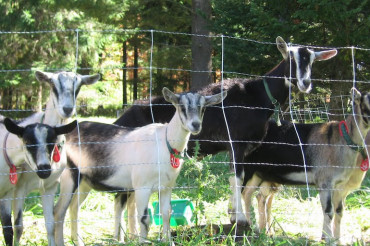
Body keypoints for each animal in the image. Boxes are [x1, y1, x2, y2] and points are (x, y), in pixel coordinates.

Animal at [0, 70, 100, 245]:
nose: (67, 109)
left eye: (79, 85)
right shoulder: (19, 187)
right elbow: (18, 226)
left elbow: (50, 224)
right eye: (52, 84)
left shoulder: (49, 187)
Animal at [51, 86, 225, 244]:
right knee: (59, 211)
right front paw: (143, 241)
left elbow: (166, 213)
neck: (165, 143)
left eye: (203, 108)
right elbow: (144, 218)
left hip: (84, 182)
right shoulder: (142, 187)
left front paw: (168, 241)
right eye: (181, 106)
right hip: (69, 176)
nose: (195, 125)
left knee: (74, 208)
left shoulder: (166, 187)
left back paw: (78, 240)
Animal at [114, 35, 336, 226]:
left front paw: (232, 214)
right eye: (290, 58)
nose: (305, 83)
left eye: (312, 61)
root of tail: (123, 117)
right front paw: (239, 217)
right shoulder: (236, 143)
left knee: (130, 199)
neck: (258, 96)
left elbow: (237, 178)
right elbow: (236, 177)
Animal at [241, 88, 368, 242]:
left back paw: (259, 231)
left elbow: (338, 211)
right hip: (248, 168)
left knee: (254, 195)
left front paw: (336, 240)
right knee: (243, 192)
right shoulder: (325, 182)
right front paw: (327, 239)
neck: (342, 140)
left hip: (263, 174)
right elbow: (328, 211)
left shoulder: (340, 186)